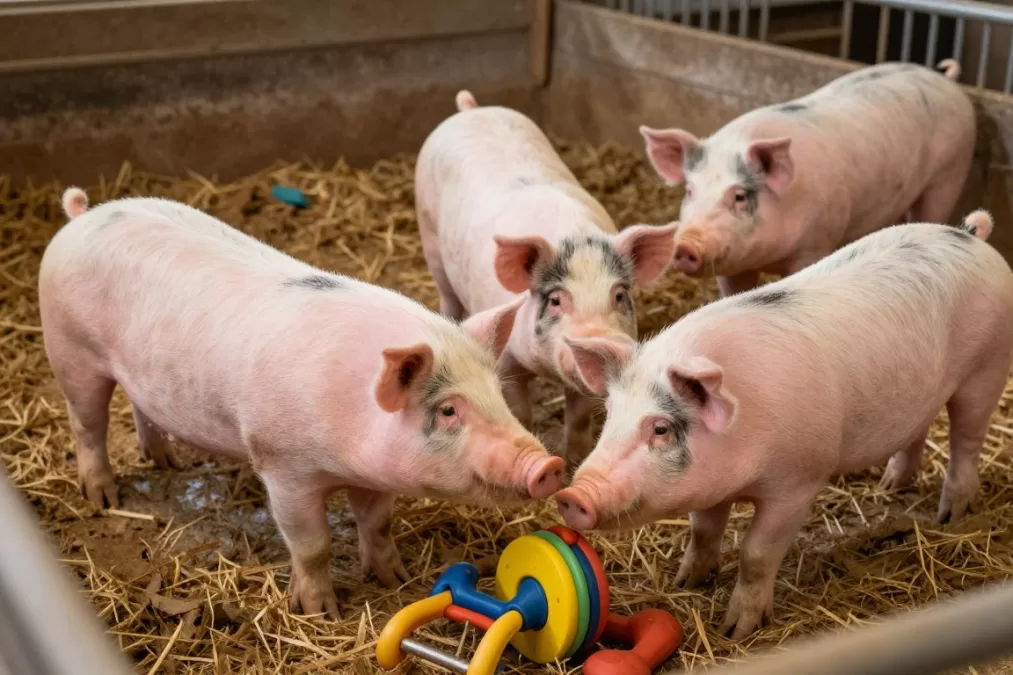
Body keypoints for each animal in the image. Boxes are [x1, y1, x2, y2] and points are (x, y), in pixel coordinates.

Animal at [39, 188, 565, 617]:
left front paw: (394, 579)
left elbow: (378, 524)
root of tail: (84, 215)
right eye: (448, 410)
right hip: (70, 351)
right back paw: (103, 499)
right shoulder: (281, 464)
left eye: (497, 393)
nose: (549, 464)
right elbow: (313, 545)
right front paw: (320, 612)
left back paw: (166, 462)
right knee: (88, 425)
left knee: (139, 408)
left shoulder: (374, 475)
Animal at [415, 90, 677, 465]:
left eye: (619, 295)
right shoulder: (506, 360)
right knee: (447, 299)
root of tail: (471, 110)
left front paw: (574, 461)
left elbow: (579, 418)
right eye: (555, 299)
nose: (598, 339)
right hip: (430, 240)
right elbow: (520, 411)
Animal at [555, 210, 1013, 638]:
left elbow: (756, 553)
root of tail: (970, 235)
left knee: (966, 439)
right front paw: (687, 582)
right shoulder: (711, 487)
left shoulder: (798, 481)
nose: (571, 495)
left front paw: (736, 630)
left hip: (987, 367)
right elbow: (703, 530)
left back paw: (951, 516)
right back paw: (890, 486)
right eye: (611, 416)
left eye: (661, 429)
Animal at [640, 59, 975, 297]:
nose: (685, 245)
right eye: (689, 191)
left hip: (951, 171)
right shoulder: (732, 266)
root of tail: (944, 79)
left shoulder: (816, 242)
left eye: (739, 196)